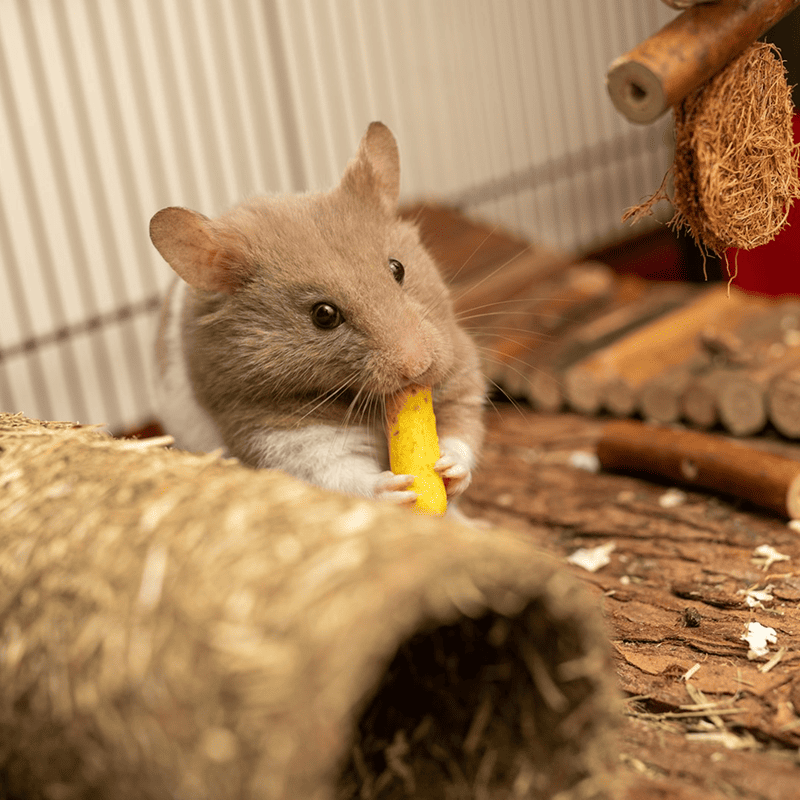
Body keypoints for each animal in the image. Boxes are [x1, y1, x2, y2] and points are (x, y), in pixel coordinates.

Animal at [151, 121, 485, 508]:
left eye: (398, 268)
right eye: (324, 315)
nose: (417, 367)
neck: (355, 396)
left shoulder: (460, 369)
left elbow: (462, 430)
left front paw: (448, 469)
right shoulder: (279, 433)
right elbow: (338, 472)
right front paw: (397, 490)